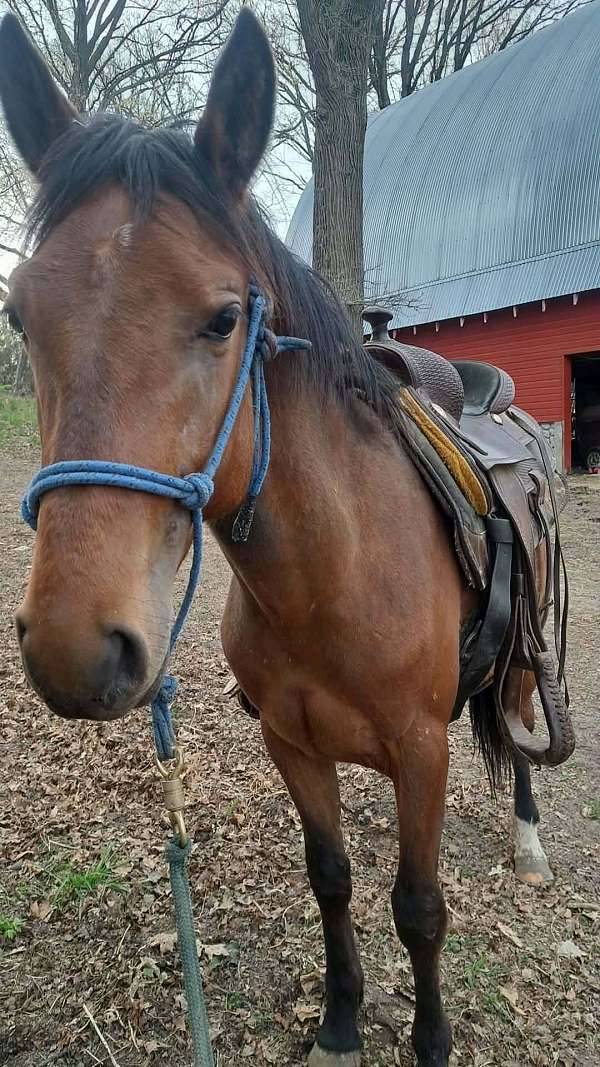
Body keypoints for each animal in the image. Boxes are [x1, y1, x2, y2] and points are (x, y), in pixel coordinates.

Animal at [0, 10, 565, 1066]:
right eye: (20, 314)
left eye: (225, 318)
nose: (73, 646)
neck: (332, 576)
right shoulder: (290, 744)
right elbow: (332, 876)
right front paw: (341, 1018)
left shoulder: (422, 750)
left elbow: (420, 907)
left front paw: (430, 1037)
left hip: (518, 657)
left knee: (514, 727)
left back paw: (529, 839)